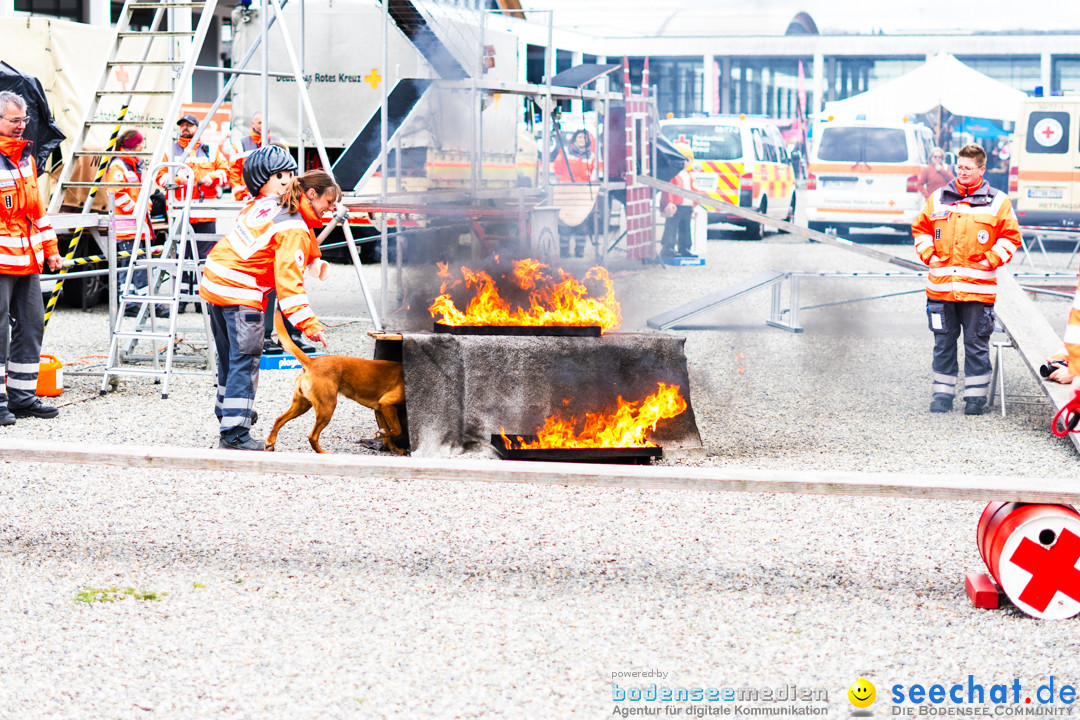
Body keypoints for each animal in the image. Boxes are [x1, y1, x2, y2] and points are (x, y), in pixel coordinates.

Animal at [263, 310, 406, 455]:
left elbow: (389, 435)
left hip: (302, 404)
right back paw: (323, 453)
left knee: (279, 419)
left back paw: (270, 443)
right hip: (327, 406)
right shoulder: (386, 403)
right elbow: (396, 430)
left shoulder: (380, 410)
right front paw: (380, 435)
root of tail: (312, 361)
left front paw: (395, 449)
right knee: (312, 436)